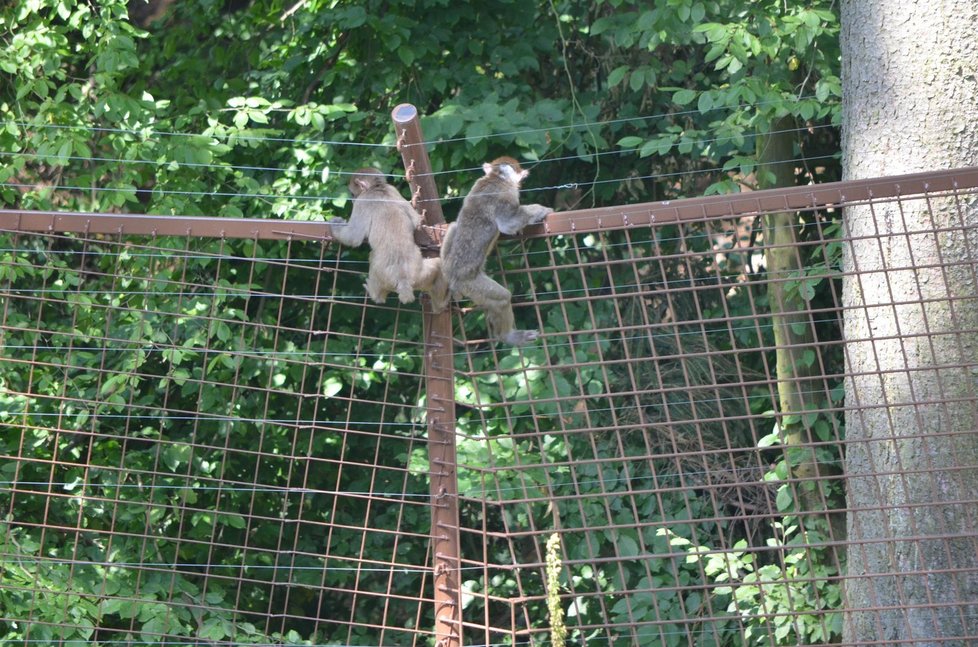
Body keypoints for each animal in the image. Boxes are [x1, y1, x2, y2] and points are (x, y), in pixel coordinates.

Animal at [330, 166, 448, 310]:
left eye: (353, 194)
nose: (352, 200)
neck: (377, 188)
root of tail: (403, 279)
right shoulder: (392, 189)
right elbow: (417, 221)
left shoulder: (364, 200)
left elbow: (353, 236)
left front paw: (335, 225)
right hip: (420, 274)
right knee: (438, 265)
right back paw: (441, 304)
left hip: (382, 275)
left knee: (372, 258)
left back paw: (375, 294)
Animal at [440, 158, 552, 346]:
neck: (495, 178)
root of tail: (449, 275)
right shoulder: (506, 195)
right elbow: (508, 223)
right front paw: (539, 210)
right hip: (469, 284)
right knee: (502, 298)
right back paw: (508, 336)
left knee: (454, 225)